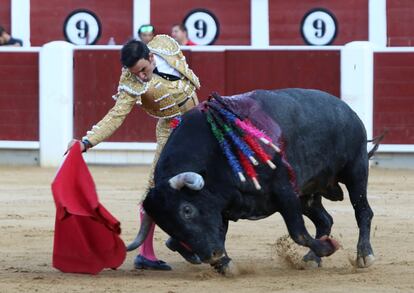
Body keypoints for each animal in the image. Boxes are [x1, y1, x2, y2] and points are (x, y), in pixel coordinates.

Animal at [128, 88, 380, 272]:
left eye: (187, 210)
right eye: (165, 224)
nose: (211, 255)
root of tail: (347, 110)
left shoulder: (284, 190)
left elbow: (297, 232)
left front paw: (329, 247)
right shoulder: (221, 205)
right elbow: (219, 232)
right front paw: (225, 264)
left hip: (355, 170)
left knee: (363, 211)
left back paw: (364, 255)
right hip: (307, 194)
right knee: (325, 220)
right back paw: (311, 259)